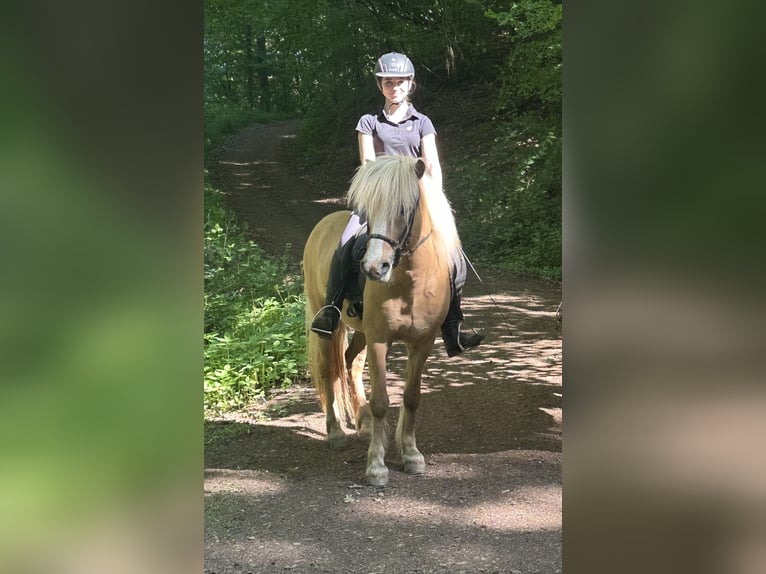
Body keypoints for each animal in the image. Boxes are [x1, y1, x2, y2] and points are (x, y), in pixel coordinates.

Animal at [303, 154, 461, 486]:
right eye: (367, 212)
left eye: (403, 209)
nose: (375, 268)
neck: (410, 282)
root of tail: (323, 224)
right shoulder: (379, 340)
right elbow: (381, 401)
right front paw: (376, 466)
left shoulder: (423, 342)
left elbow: (411, 397)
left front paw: (411, 455)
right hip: (327, 323)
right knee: (328, 370)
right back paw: (336, 433)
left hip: (361, 332)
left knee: (350, 362)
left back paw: (362, 424)